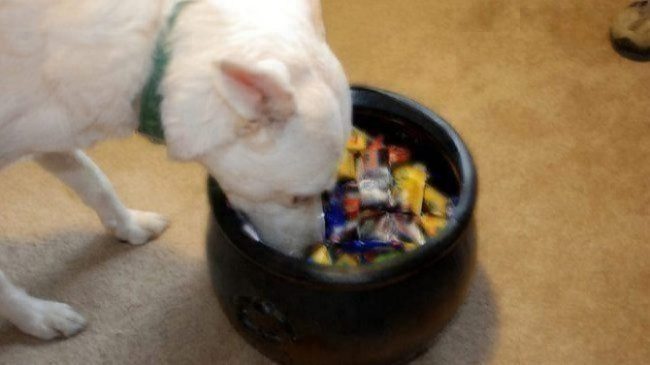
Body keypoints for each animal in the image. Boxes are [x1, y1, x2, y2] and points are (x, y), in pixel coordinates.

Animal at [0, 0, 350, 340]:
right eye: (296, 198)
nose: (312, 251)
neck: (156, 54)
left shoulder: (51, 137)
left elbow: (96, 182)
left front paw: (128, 225)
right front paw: (36, 317)